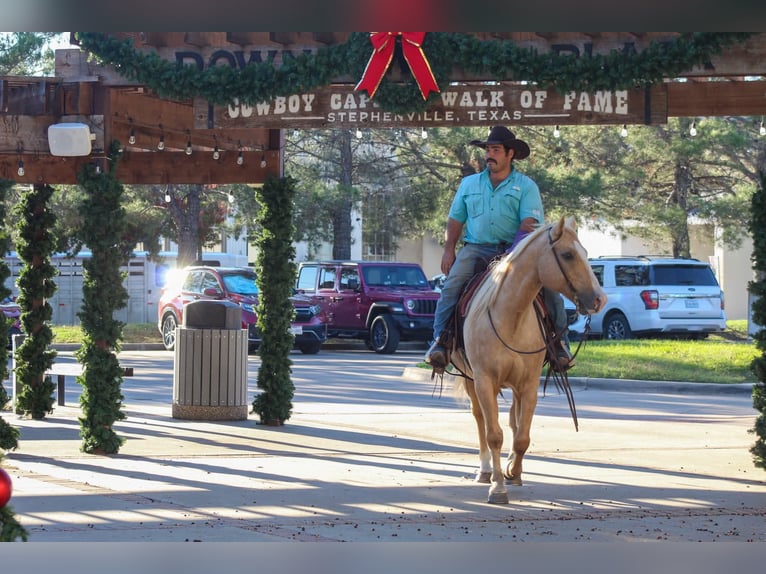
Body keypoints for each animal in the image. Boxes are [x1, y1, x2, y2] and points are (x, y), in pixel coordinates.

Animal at [450, 216, 608, 504]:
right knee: (479, 418)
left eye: (585, 252)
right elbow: (494, 434)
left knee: (515, 419)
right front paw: (497, 488)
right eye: (567, 255)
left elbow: (521, 435)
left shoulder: (529, 383)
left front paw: (514, 471)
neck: (509, 317)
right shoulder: (484, 381)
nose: (600, 299)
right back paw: (485, 470)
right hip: (470, 380)